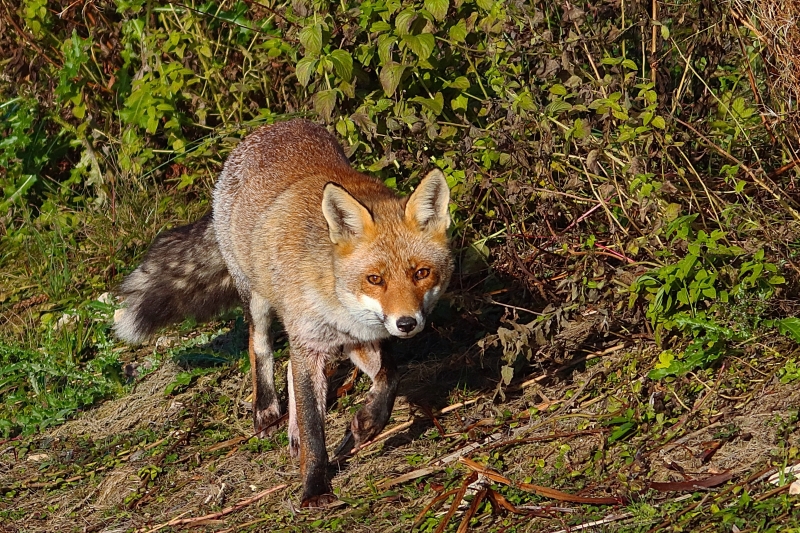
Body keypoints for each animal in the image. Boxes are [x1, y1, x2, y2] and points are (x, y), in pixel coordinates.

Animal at [113, 119, 454, 508]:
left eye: (421, 273)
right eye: (374, 279)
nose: (407, 323)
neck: (336, 296)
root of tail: (273, 127)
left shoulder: (357, 338)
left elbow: (389, 377)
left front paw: (366, 423)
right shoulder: (311, 342)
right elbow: (312, 426)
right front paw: (314, 488)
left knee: (290, 366)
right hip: (258, 301)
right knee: (260, 348)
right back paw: (267, 411)